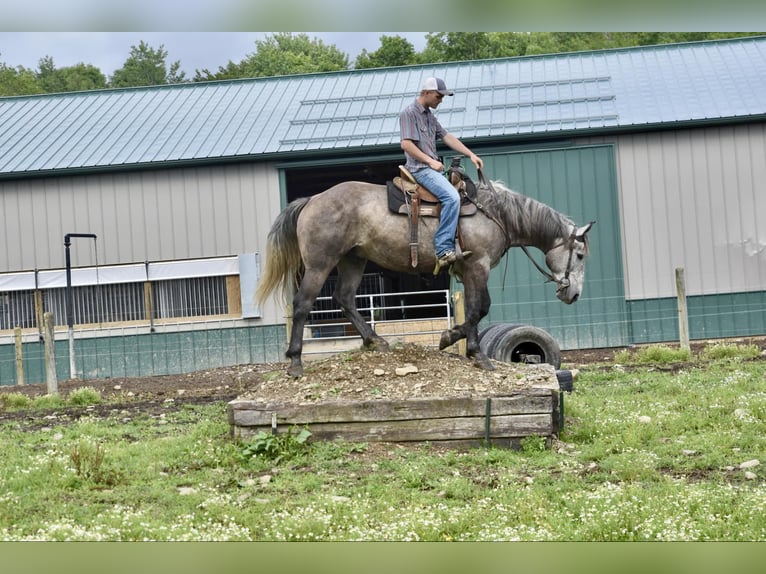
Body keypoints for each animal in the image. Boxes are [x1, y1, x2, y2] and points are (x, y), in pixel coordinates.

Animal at [255, 176, 594, 377]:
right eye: (579, 255)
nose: (574, 294)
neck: (496, 214)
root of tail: (312, 200)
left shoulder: (469, 271)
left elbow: (474, 310)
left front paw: (459, 343)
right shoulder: (478, 267)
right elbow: (479, 308)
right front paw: (470, 351)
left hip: (353, 260)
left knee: (345, 298)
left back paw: (375, 340)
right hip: (320, 264)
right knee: (302, 304)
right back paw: (295, 363)